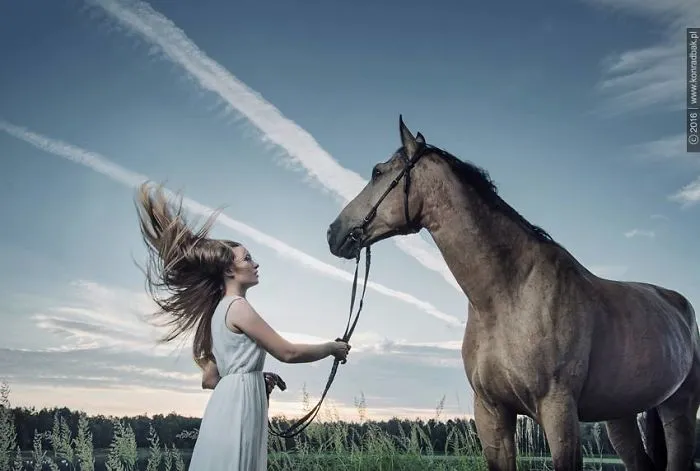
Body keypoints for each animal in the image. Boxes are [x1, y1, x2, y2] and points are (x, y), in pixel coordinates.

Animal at [326, 116, 700, 471]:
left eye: (377, 172)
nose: (333, 232)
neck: (507, 295)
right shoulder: (491, 411)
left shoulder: (558, 410)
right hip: (621, 415)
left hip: (679, 410)